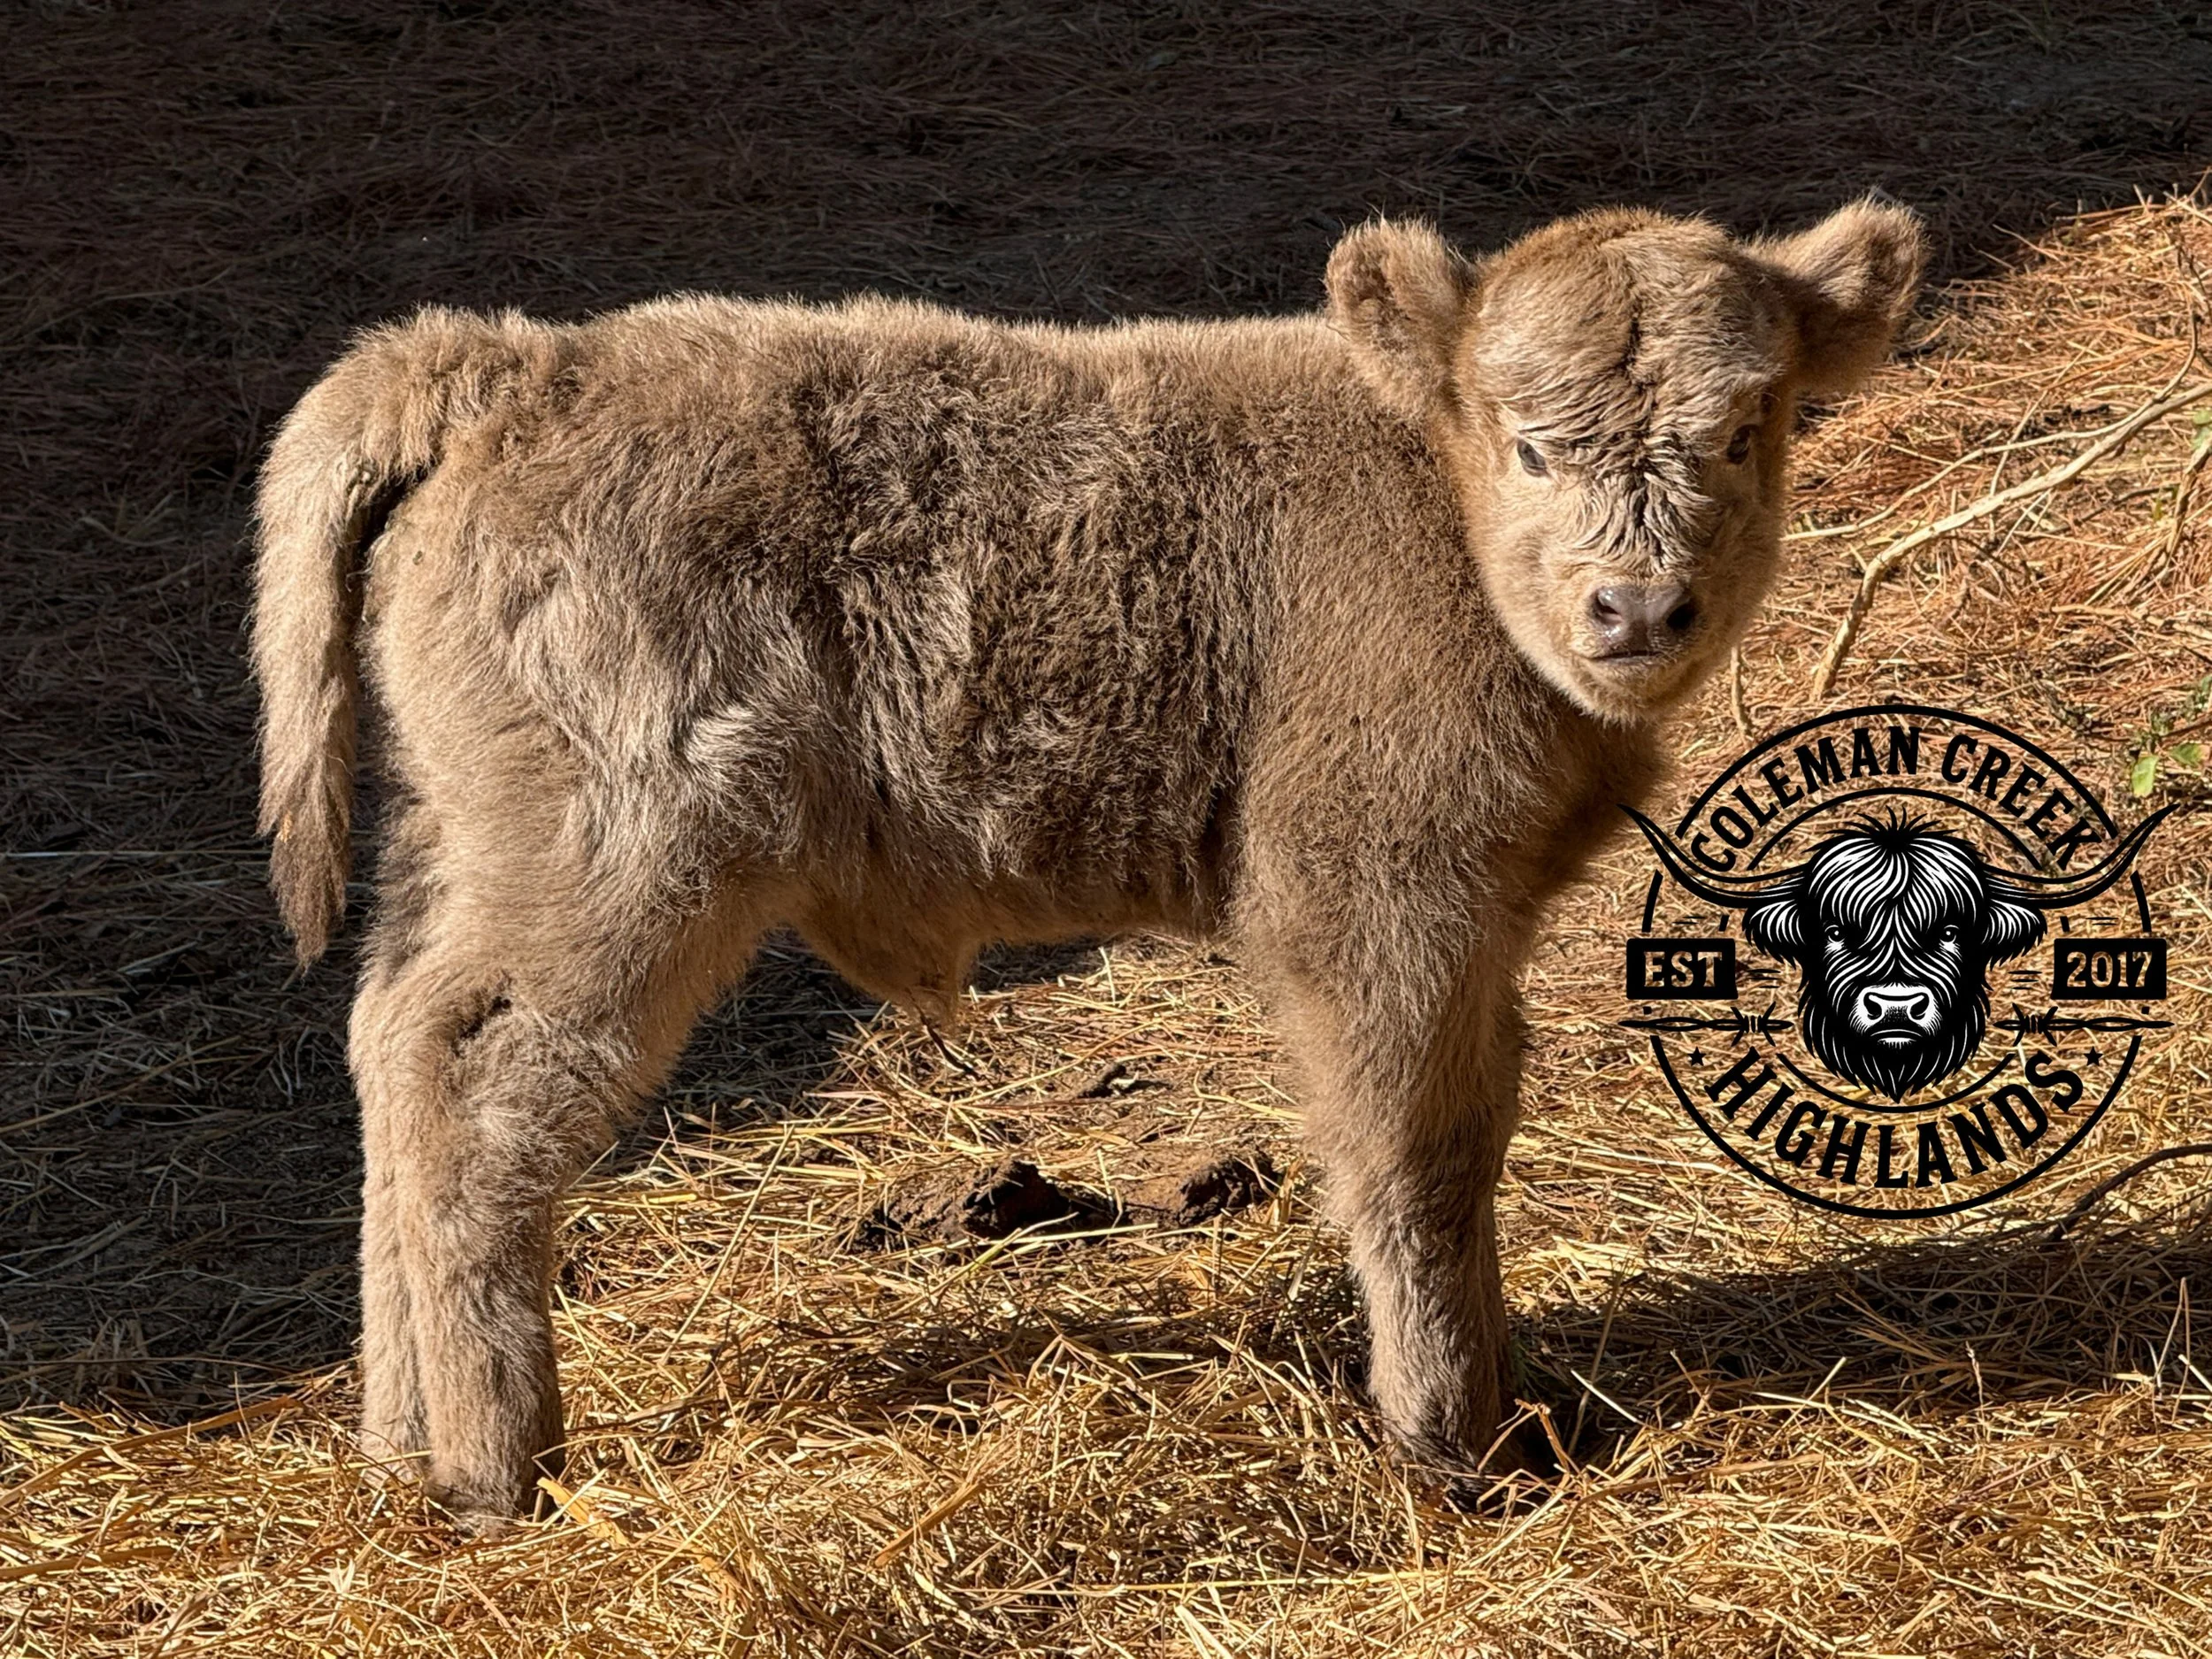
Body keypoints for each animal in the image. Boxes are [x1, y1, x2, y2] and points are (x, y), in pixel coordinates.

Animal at [253, 199, 1925, 1527]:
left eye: (1749, 428)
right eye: (1525, 440)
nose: (1638, 609)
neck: (1426, 499)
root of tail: (515, 367)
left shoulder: (1478, 922)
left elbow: (1473, 1129)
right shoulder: (1373, 893)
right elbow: (1416, 1152)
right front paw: (1458, 1441)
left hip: (459, 839)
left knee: (393, 1040)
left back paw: (398, 1440)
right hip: (617, 860)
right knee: (484, 1097)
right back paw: (494, 1470)